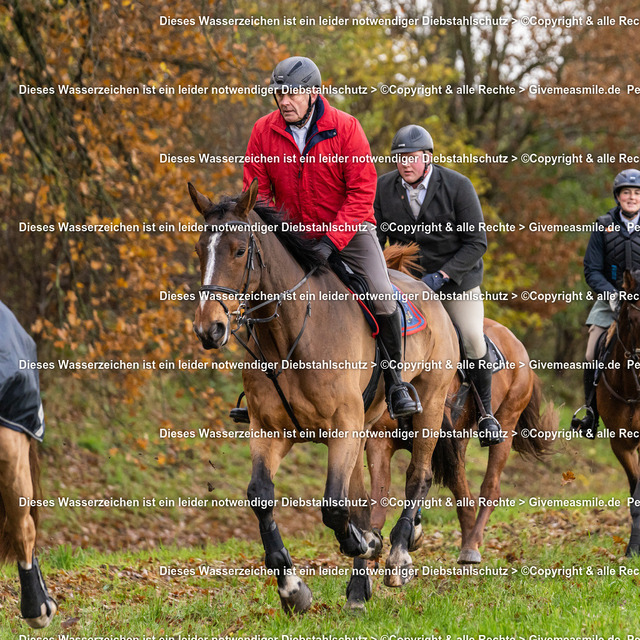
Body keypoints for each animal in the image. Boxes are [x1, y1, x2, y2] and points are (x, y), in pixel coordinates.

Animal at [188, 180, 460, 611]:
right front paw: (292, 588)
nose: (208, 329)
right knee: (364, 499)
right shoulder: (270, 431)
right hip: (370, 429)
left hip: (428, 405)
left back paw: (399, 554)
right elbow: (262, 496)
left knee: (418, 475)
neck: (290, 334)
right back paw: (358, 589)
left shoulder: (342, 427)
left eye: (240, 250)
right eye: (200, 250)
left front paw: (364, 544)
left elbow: (333, 506)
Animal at [363, 246, 555, 564]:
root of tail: (516, 343)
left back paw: (472, 546)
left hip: (506, 422)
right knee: (465, 489)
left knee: (489, 487)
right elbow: (380, 497)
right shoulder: (380, 440)